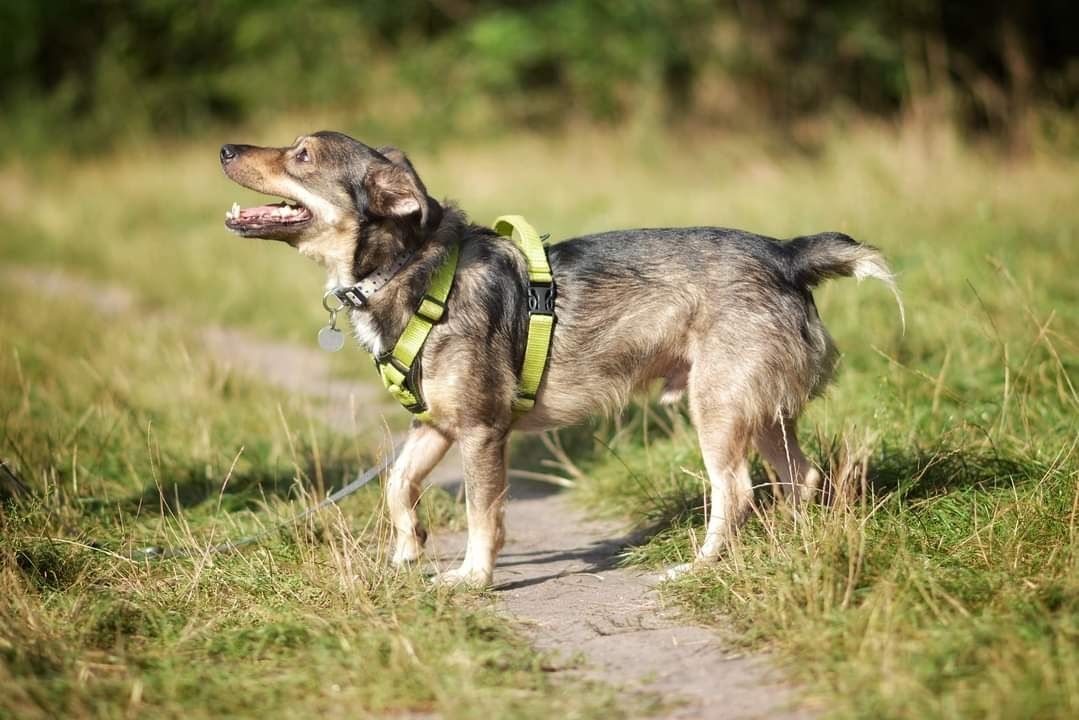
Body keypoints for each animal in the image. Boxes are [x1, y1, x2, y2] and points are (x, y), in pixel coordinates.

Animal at [214, 132, 897, 587]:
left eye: (301, 155)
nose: (224, 148)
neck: (408, 270)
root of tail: (788, 254)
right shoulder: (436, 424)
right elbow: (396, 484)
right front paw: (409, 549)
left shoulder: (482, 431)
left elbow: (481, 512)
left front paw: (472, 578)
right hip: (759, 408)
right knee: (802, 476)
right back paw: (789, 545)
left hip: (718, 407)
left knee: (736, 490)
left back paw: (700, 565)